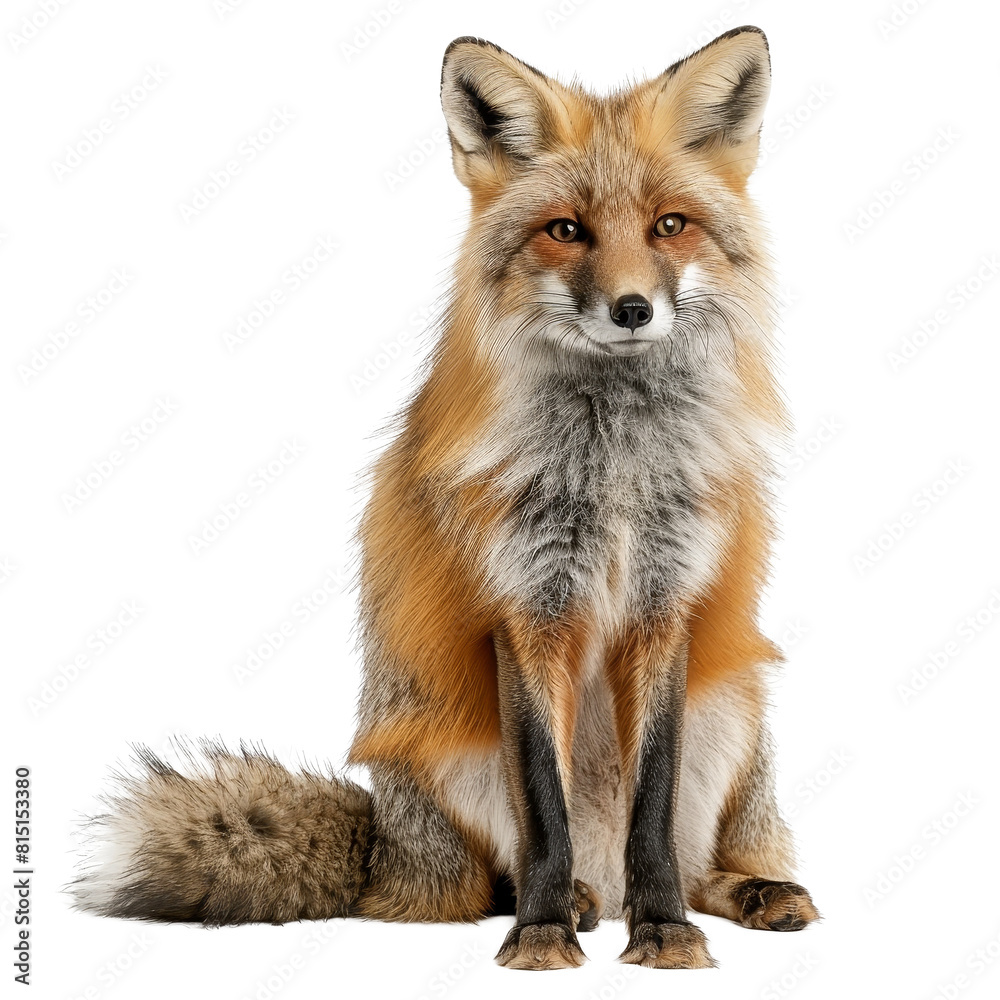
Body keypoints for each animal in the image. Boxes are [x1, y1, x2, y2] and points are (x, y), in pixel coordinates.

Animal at [72, 29, 820, 968]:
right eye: (565, 230)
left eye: (669, 226)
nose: (632, 309)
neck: (611, 474)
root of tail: (386, 855)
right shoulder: (524, 609)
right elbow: (544, 809)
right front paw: (540, 936)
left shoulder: (666, 606)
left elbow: (652, 810)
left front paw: (666, 935)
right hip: (453, 763)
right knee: (484, 883)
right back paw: (571, 905)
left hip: (735, 712)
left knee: (693, 859)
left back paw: (739, 892)